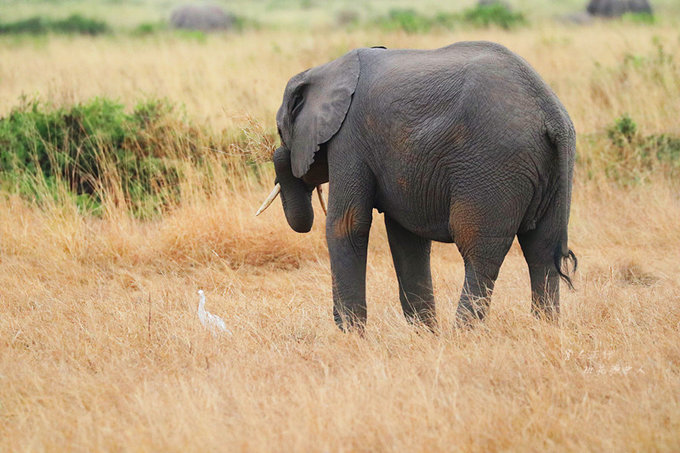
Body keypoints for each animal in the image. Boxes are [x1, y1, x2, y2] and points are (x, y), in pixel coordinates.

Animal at [258, 41, 576, 332]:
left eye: (280, 131)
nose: (282, 155)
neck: (325, 70)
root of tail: (551, 114)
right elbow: (407, 239)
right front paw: (424, 333)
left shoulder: (349, 139)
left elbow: (347, 224)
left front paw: (349, 335)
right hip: (551, 171)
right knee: (542, 251)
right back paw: (545, 329)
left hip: (493, 165)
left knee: (479, 249)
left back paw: (463, 334)